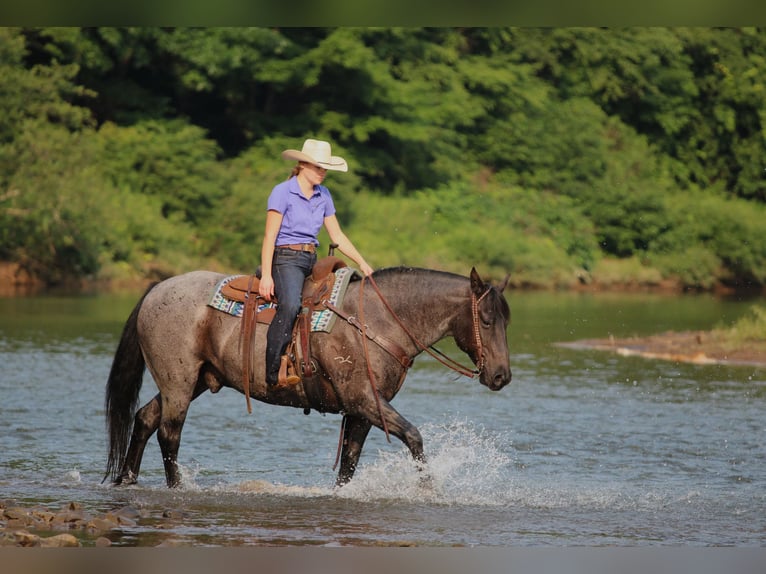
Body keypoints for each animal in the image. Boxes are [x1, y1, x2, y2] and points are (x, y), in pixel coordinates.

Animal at [104, 265, 512, 488]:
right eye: (486, 319)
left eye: (507, 321)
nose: (501, 376)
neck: (375, 321)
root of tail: (157, 288)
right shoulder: (364, 399)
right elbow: (414, 436)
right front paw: (428, 487)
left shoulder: (363, 410)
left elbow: (349, 461)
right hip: (179, 381)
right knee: (169, 433)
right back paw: (176, 488)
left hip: (195, 381)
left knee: (145, 418)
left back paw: (128, 479)